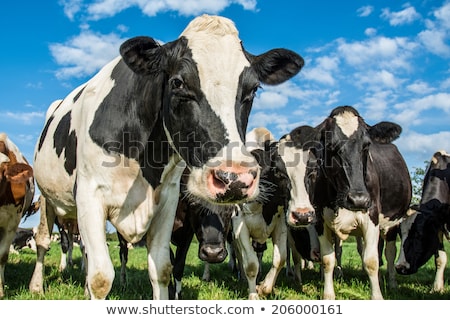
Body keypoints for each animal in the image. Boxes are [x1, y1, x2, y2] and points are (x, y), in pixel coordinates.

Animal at [29, 15, 304, 300]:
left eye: (253, 89)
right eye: (178, 83)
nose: (234, 179)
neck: (144, 159)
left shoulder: (168, 201)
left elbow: (162, 269)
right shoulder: (89, 195)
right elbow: (100, 277)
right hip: (48, 198)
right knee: (43, 240)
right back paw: (37, 285)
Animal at [284, 105, 412, 300]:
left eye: (366, 145)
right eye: (330, 146)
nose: (358, 199)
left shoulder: (372, 217)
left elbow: (372, 261)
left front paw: (377, 296)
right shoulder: (321, 220)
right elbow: (328, 259)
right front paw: (328, 294)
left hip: (391, 224)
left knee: (389, 253)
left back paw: (391, 282)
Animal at [398, 150, 450, 292]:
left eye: (419, 234)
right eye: (400, 234)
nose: (400, 267)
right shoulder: (437, 227)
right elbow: (440, 258)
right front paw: (437, 288)